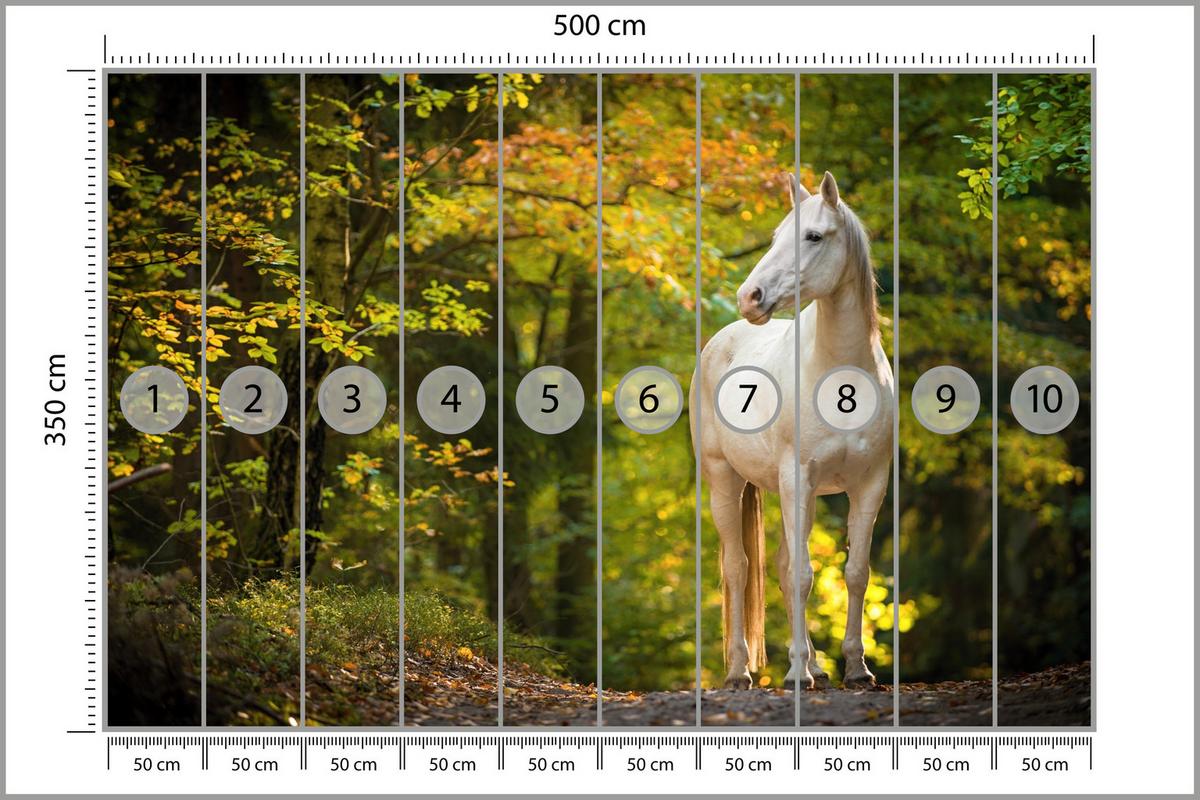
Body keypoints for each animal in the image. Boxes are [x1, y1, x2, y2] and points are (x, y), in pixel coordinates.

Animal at [691, 171, 894, 690]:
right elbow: (803, 576)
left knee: (782, 566)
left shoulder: (870, 484)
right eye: (776, 237)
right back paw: (741, 671)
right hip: (725, 481)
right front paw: (797, 674)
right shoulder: (796, 477)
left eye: (814, 236)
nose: (750, 297)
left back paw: (815, 666)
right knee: (738, 568)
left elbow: (855, 572)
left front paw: (856, 668)